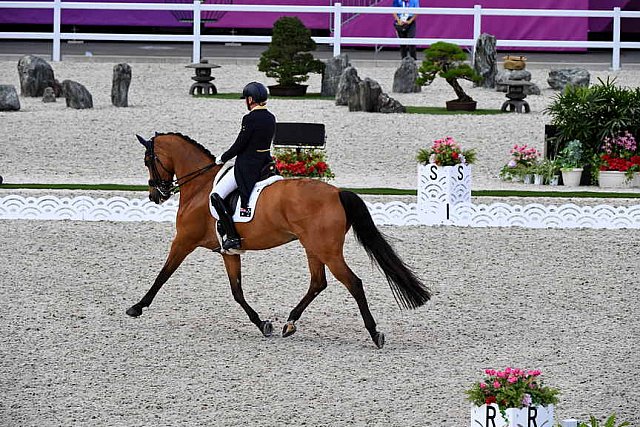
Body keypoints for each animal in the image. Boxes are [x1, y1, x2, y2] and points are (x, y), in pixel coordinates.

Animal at [126, 133, 430, 348]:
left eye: (148, 161)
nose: (155, 195)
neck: (200, 187)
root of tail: (336, 192)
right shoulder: (228, 252)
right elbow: (237, 291)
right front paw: (262, 324)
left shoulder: (183, 241)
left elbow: (163, 274)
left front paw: (137, 307)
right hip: (313, 248)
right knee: (318, 283)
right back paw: (290, 323)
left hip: (327, 251)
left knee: (353, 283)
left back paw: (374, 332)